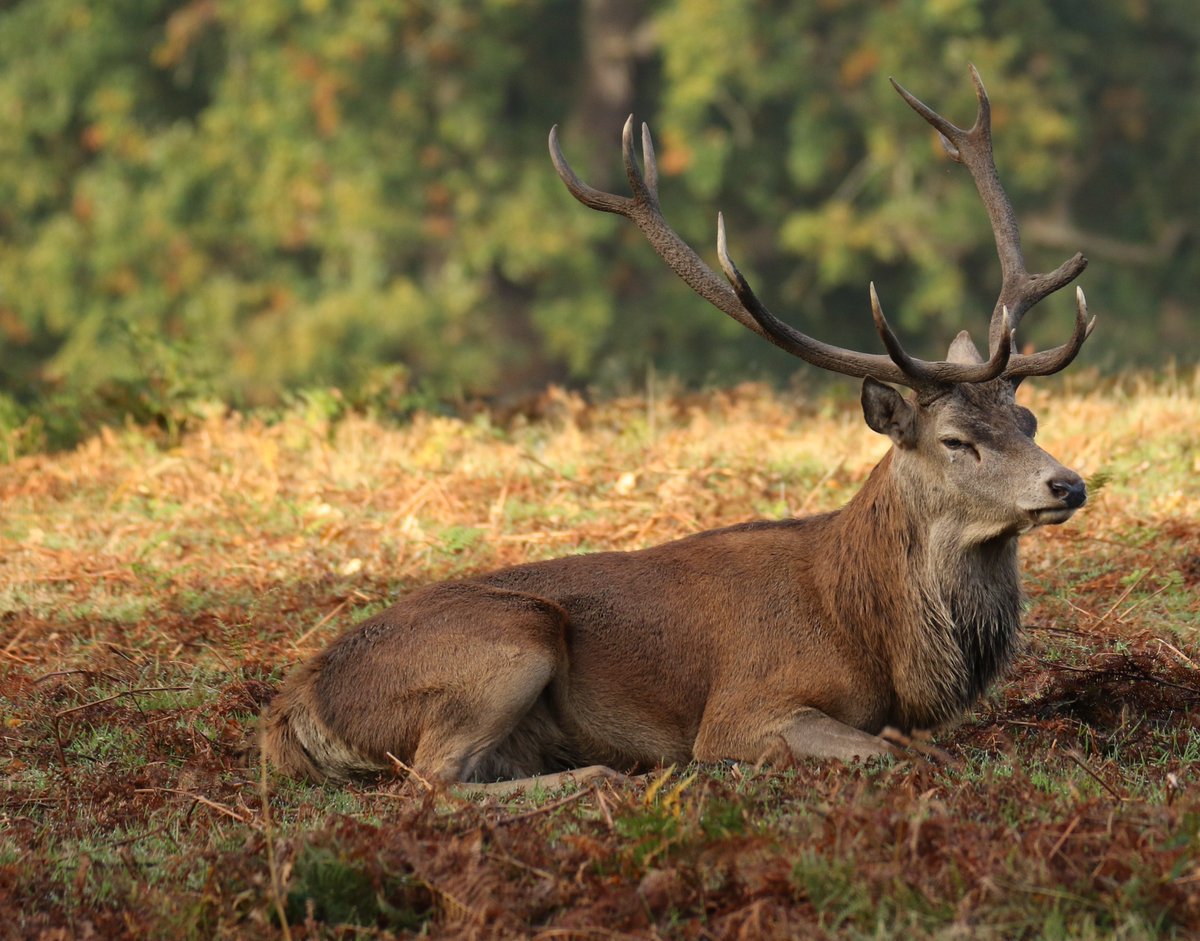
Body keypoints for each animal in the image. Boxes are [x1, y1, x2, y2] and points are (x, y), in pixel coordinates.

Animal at [262, 68, 1094, 791]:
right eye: (956, 439)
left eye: (1027, 416)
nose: (1069, 483)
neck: (872, 636)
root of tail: (298, 703)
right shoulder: (743, 709)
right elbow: (882, 750)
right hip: (508, 639)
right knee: (430, 781)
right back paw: (602, 776)